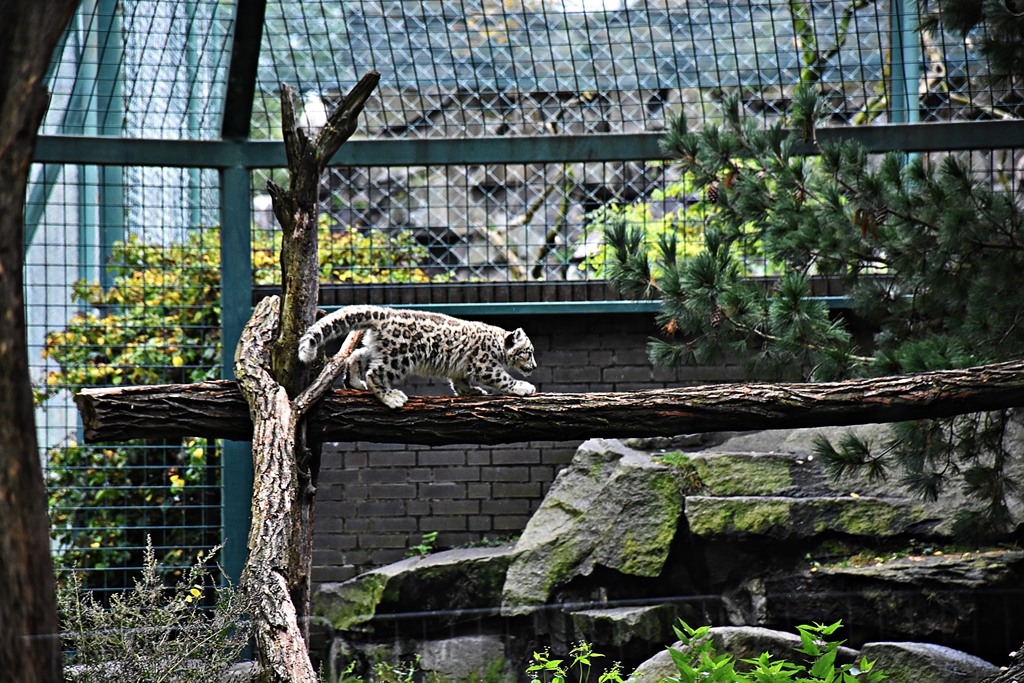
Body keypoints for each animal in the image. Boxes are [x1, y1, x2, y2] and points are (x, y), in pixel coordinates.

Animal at [297, 305, 537, 409]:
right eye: (528, 352)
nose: (535, 366)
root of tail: (386, 313)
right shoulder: (485, 365)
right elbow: (503, 378)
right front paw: (524, 387)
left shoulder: (462, 368)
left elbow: (460, 382)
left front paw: (472, 391)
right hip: (399, 357)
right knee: (375, 372)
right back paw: (392, 398)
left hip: (377, 349)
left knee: (356, 355)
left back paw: (355, 383)